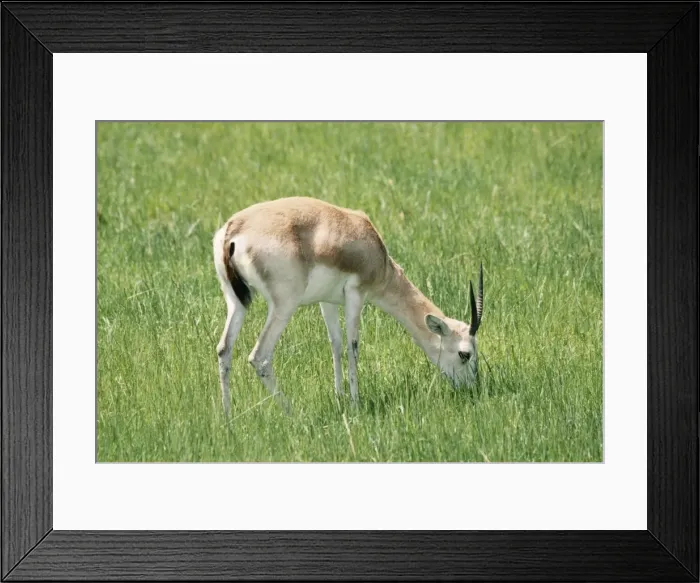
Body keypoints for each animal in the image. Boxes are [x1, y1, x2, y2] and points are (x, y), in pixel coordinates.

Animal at [213, 196, 483, 416]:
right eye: (465, 354)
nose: (472, 389)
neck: (375, 251)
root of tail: (234, 228)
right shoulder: (356, 294)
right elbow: (353, 346)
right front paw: (355, 402)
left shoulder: (327, 302)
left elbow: (336, 344)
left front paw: (339, 397)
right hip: (284, 306)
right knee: (259, 357)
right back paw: (293, 413)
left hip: (236, 302)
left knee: (224, 349)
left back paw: (228, 417)